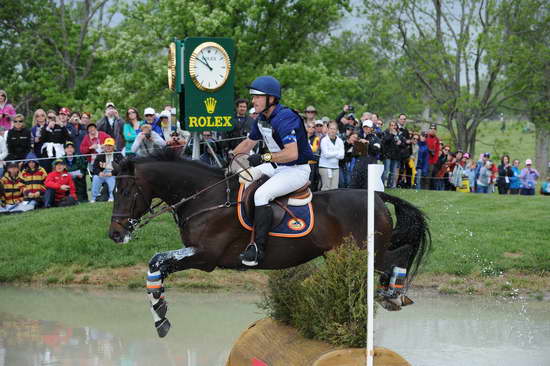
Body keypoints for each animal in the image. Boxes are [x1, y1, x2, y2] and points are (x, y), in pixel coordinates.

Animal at [110, 148, 434, 338]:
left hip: (363, 253)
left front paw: (161, 316)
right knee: (393, 259)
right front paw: (160, 314)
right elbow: (156, 267)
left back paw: (393, 293)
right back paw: (392, 293)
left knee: (397, 257)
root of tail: (377, 196)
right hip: (343, 255)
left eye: (125, 191)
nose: (115, 234)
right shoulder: (195, 255)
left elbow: (156, 261)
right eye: (114, 190)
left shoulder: (205, 257)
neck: (206, 198)